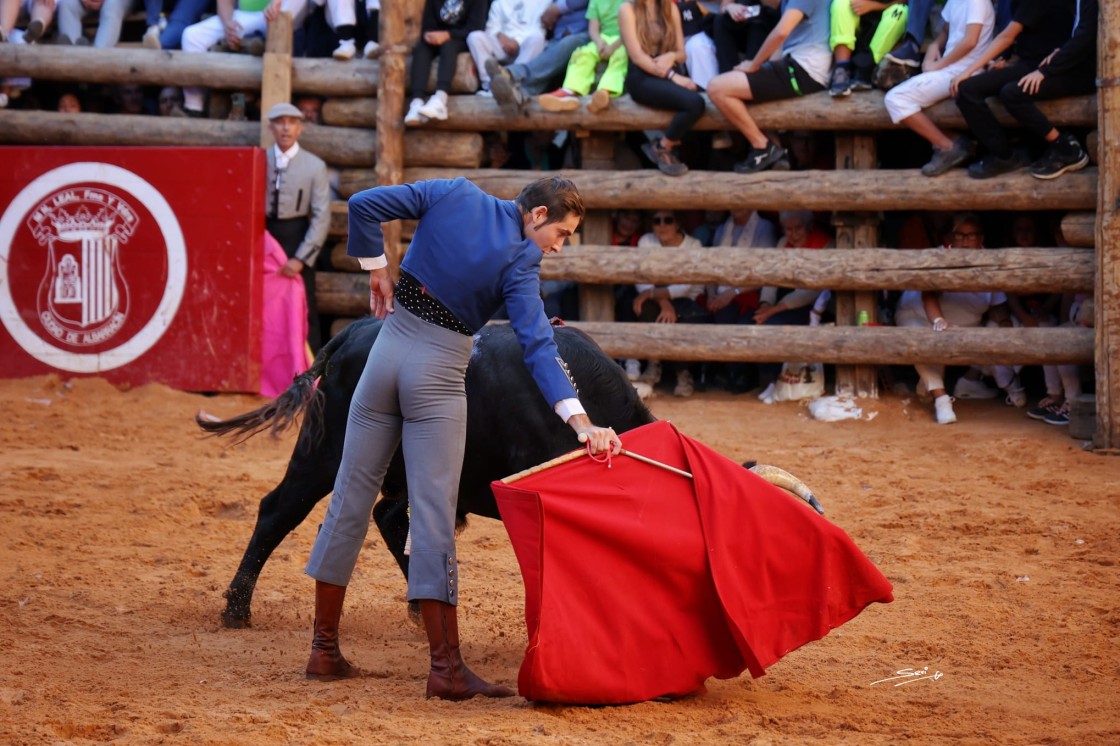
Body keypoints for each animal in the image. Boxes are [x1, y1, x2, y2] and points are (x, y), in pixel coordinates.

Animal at [201, 315, 654, 622]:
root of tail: (357, 330)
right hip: (325, 453)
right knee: (278, 511)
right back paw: (237, 609)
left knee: (387, 516)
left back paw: (422, 606)